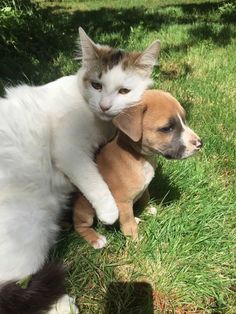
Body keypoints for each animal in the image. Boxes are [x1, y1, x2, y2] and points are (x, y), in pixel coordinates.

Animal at [0, 28, 160, 312]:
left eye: (124, 91)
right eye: (96, 85)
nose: (105, 106)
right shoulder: (69, 152)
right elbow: (94, 179)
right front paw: (109, 212)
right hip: (29, 232)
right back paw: (63, 304)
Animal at [73, 89, 203, 248]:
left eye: (184, 120)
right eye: (167, 128)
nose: (200, 143)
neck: (138, 156)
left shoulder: (144, 187)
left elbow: (145, 197)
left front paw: (146, 210)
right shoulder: (122, 202)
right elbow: (128, 223)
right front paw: (135, 240)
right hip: (85, 207)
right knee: (80, 226)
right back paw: (96, 239)